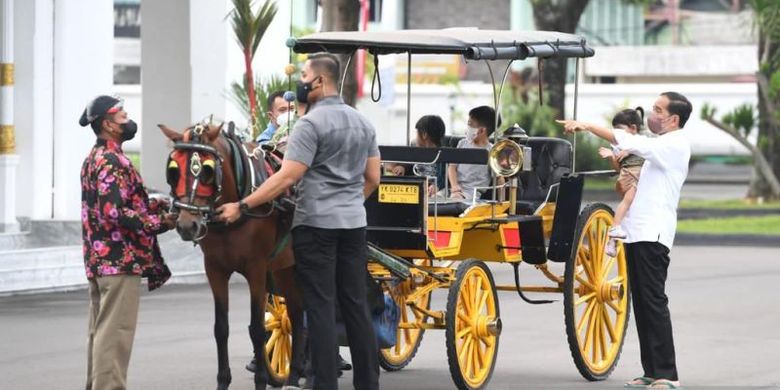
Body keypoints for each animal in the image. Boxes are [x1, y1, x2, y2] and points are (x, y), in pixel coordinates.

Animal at [158, 120, 304, 388]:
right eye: (173, 169)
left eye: (207, 169)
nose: (187, 225)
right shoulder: (215, 269)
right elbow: (221, 328)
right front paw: (223, 380)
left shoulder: (257, 268)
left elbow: (256, 329)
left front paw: (260, 380)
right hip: (284, 268)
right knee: (297, 315)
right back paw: (295, 374)